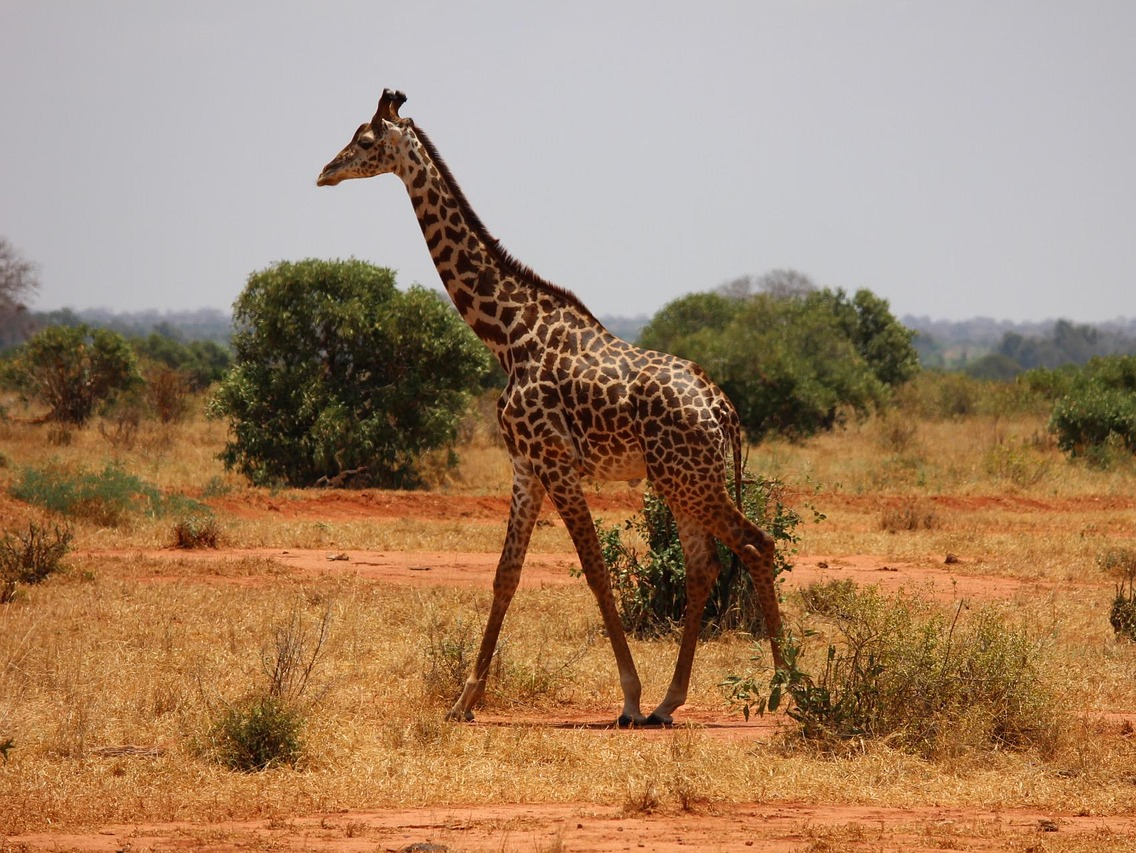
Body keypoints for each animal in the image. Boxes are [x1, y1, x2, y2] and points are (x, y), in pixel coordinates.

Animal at [318, 89, 784, 726]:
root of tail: (723, 409)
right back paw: (671, 702)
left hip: (692, 480)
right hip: (680, 480)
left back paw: (785, 689)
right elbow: (505, 574)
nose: (324, 173)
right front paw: (464, 701)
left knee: (757, 545)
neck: (506, 335)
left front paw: (628, 697)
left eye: (364, 141)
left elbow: (595, 571)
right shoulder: (525, 466)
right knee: (703, 567)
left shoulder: (557, 462)